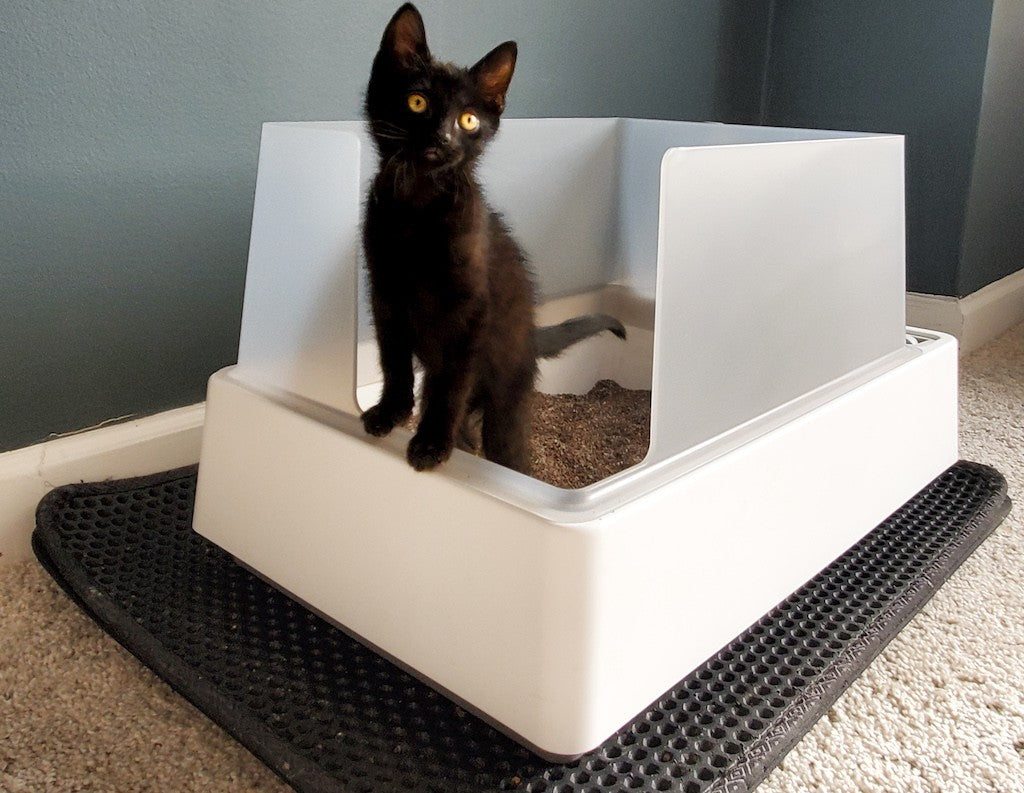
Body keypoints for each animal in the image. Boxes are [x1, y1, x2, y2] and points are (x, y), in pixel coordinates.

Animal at [364, 3, 626, 475]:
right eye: (418, 102)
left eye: (468, 120)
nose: (443, 138)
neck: (418, 208)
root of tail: (532, 335)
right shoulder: (384, 291)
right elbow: (392, 359)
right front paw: (391, 411)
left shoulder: (470, 310)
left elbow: (450, 381)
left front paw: (432, 442)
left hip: (507, 402)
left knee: (508, 449)